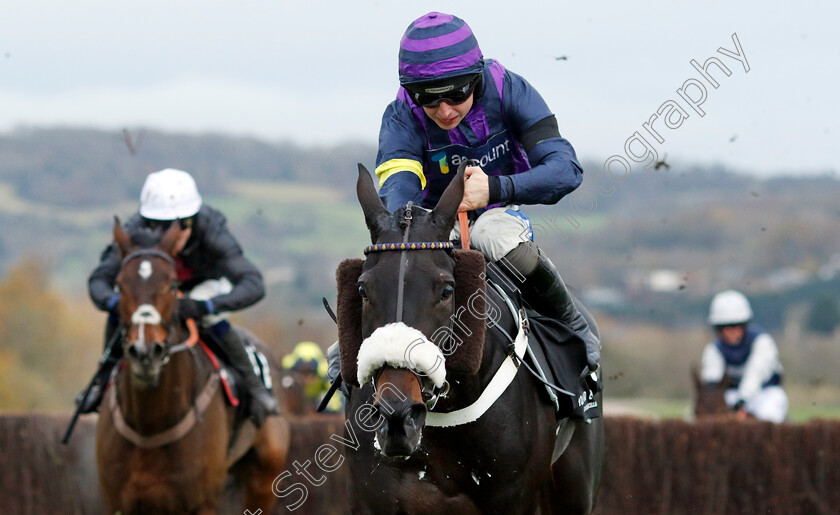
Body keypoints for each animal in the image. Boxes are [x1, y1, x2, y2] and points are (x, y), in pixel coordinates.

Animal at [96, 222, 288, 515]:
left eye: (172, 284)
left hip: (264, 477)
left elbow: (251, 280)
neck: (149, 425)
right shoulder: (116, 502)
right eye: (119, 284)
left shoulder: (202, 502)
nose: (145, 352)